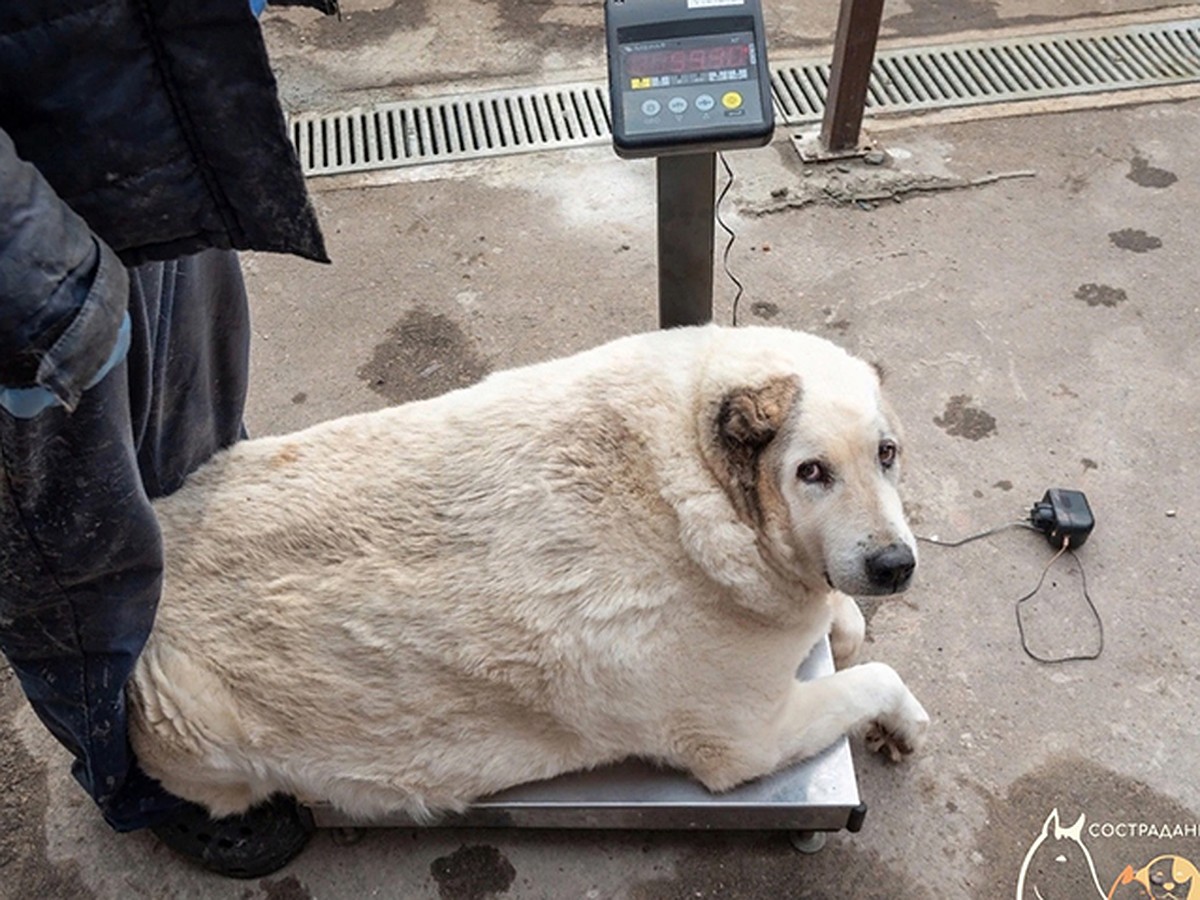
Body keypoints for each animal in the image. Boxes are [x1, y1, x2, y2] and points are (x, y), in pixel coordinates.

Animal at [133, 326, 936, 825]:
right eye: (811, 472)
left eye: (888, 454)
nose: (895, 565)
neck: (699, 490)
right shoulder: (744, 740)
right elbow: (877, 674)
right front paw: (904, 722)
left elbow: (845, 623)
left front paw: (844, 626)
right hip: (197, 726)